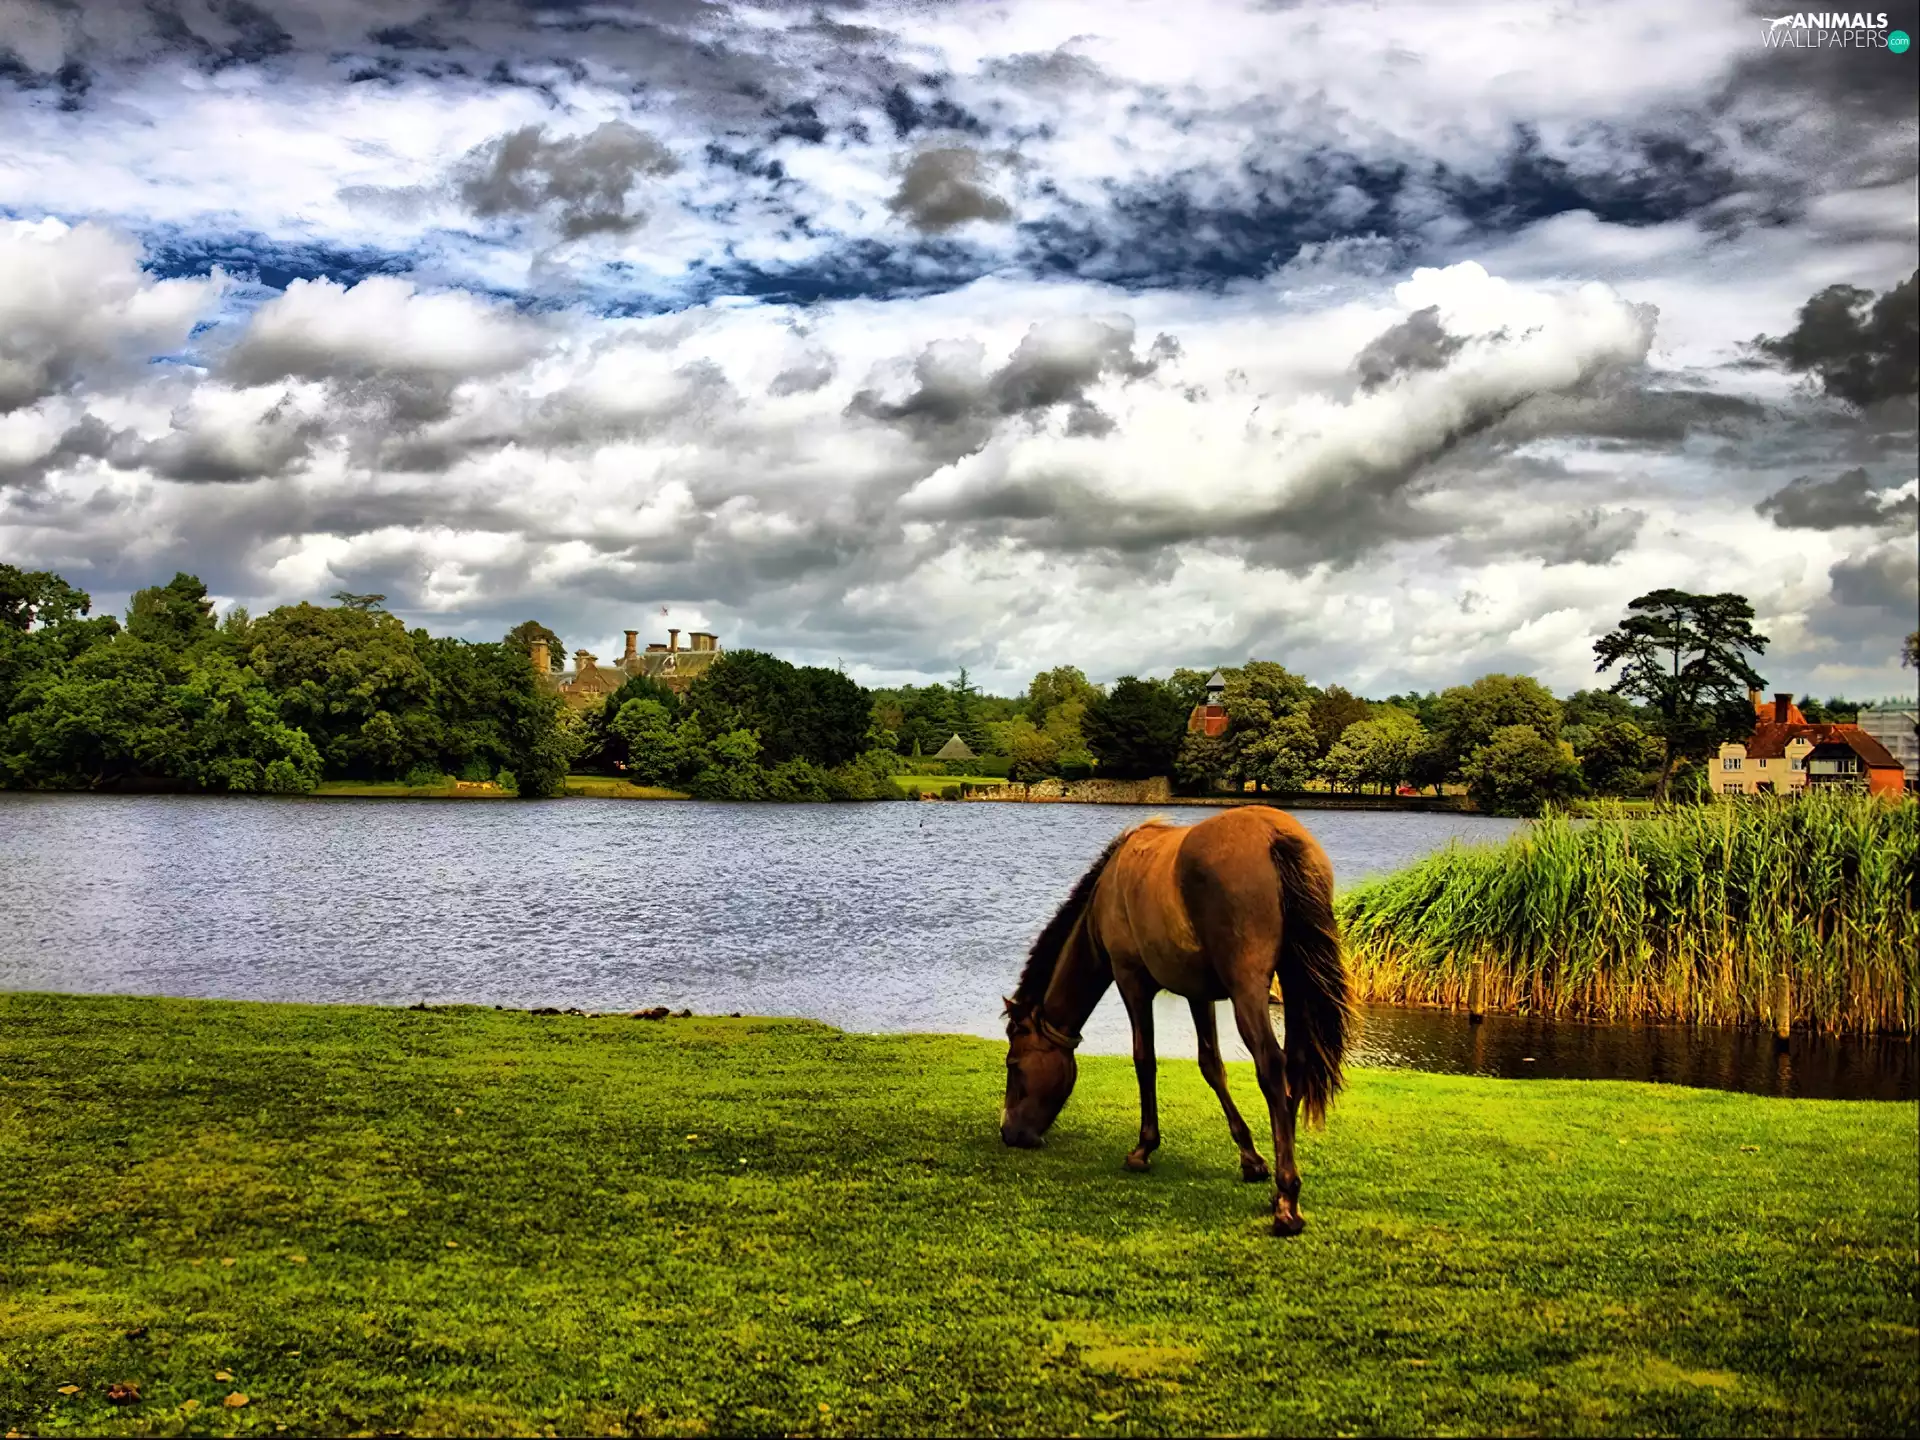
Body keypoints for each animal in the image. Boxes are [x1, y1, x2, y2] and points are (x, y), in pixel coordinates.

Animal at [999, 806, 1353, 1236]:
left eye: (1013, 1064)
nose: (1009, 1132)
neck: (1108, 889)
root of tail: (1275, 836)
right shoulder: (1199, 995)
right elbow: (1211, 1065)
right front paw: (1251, 1157)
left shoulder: (1131, 981)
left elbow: (1144, 1060)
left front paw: (1143, 1148)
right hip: (1295, 978)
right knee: (1297, 1063)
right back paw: (1281, 1188)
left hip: (1248, 990)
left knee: (1272, 1065)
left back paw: (1287, 1201)